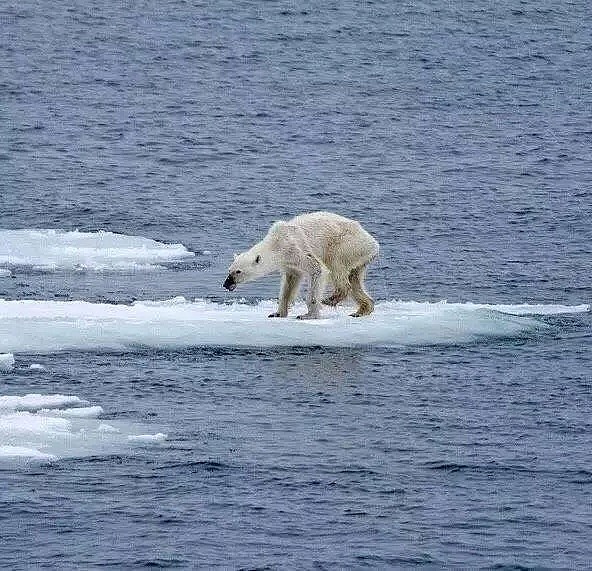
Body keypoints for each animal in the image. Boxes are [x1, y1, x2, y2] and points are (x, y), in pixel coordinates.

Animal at [222, 212, 380, 320]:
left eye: (238, 271)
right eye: (229, 270)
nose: (226, 284)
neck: (276, 243)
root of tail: (374, 243)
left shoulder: (296, 249)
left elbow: (318, 270)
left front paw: (308, 315)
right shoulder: (289, 263)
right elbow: (290, 283)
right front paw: (277, 313)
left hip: (346, 245)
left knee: (337, 266)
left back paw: (331, 299)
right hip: (360, 256)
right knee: (355, 279)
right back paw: (361, 310)